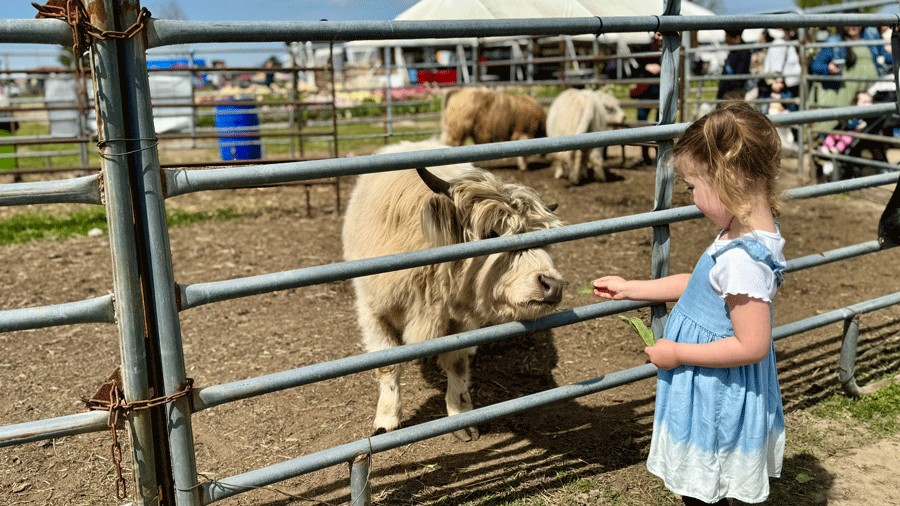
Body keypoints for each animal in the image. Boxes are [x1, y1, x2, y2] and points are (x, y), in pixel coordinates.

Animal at [342, 139, 565, 441]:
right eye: (491, 233)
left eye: (543, 239)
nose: (553, 284)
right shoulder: (373, 312)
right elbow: (388, 364)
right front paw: (386, 419)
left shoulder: (457, 321)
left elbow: (457, 363)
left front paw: (461, 415)